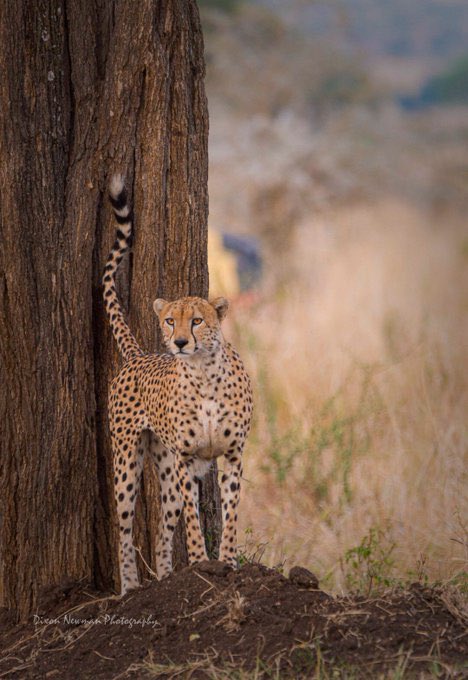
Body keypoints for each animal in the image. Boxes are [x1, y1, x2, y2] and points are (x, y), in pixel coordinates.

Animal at [103, 177, 252, 596]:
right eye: (170, 320)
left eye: (197, 320)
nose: (181, 342)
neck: (204, 374)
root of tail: (138, 355)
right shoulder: (187, 459)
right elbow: (193, 521)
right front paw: (202, 563)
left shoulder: (231, 454)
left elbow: (230, 514)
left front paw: (227, 561)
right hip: (128, 457)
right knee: (123, 525)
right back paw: (131, 587)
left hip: (165, 465)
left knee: (161, 528)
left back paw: (167, 579)